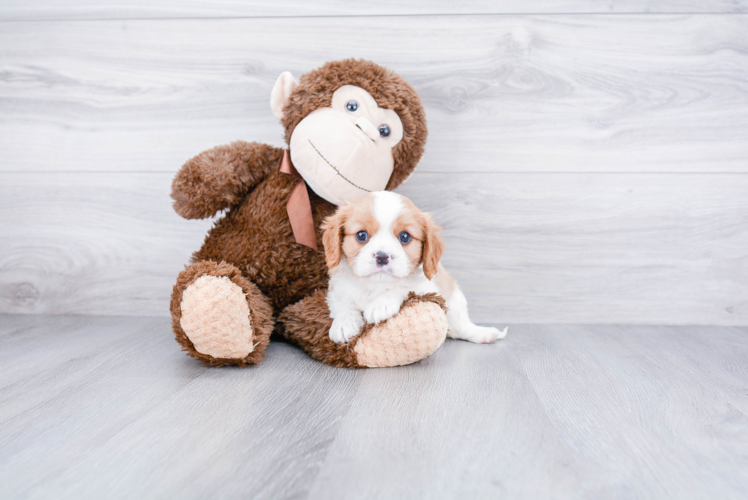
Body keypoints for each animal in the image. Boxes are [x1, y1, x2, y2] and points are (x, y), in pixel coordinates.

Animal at [322, 189, 508, 346]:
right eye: (361, 235)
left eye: (405, 237)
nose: (382, 257)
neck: (376, 284)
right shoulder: (336, 289)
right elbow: (342, 303)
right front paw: (344, 323)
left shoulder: (428, 287)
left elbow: (404, 286)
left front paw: (381, 304)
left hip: (455, 302)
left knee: (461, 327)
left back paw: (483, 334)